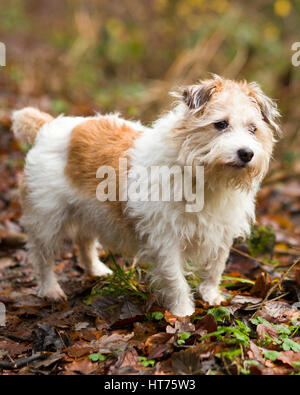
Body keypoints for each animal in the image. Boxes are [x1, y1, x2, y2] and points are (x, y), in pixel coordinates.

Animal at [11, 76, 278, 318]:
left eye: (253, 129)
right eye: (220, 124)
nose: (246, 153)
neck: (204, 177)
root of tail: (48, 127)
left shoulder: (221, 234)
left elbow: (215, 268)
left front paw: (212, 297)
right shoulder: (165, 240)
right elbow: (175, 279)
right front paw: (183, 312)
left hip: (88, 211)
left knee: (84, 241)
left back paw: (96, 270)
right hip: (46, 220)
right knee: (42, 258)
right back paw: (50, 290)